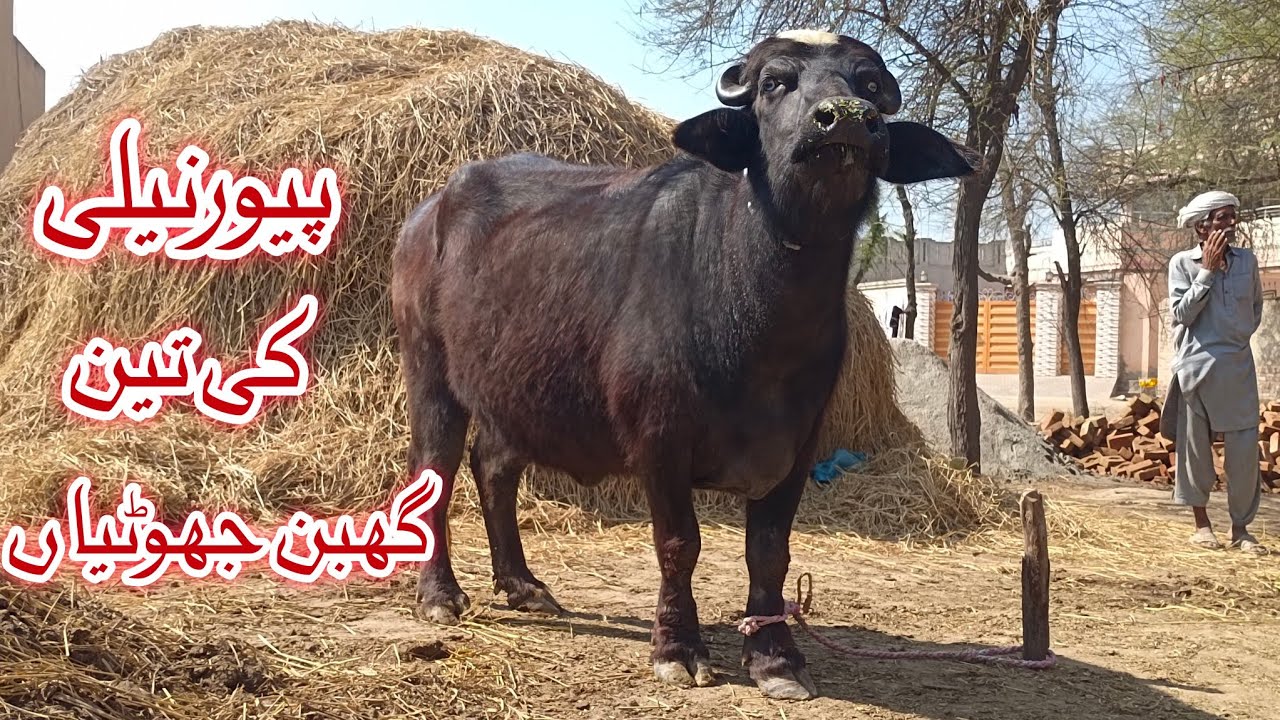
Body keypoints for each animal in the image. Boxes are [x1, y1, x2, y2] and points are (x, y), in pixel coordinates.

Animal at [391, 29, 977, 700]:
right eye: (775, 83)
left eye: (870, 85)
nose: (847, 120)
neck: (761, 320)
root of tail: (426, 216)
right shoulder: (660, 440)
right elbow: (679, 544)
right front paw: (678, 648)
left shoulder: (801, 445)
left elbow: (770, 552)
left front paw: (776, 658)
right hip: (429, 374)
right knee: (431, 471)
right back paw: (439, 595)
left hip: (512, 392)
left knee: (492, 467)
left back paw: (523, 585)